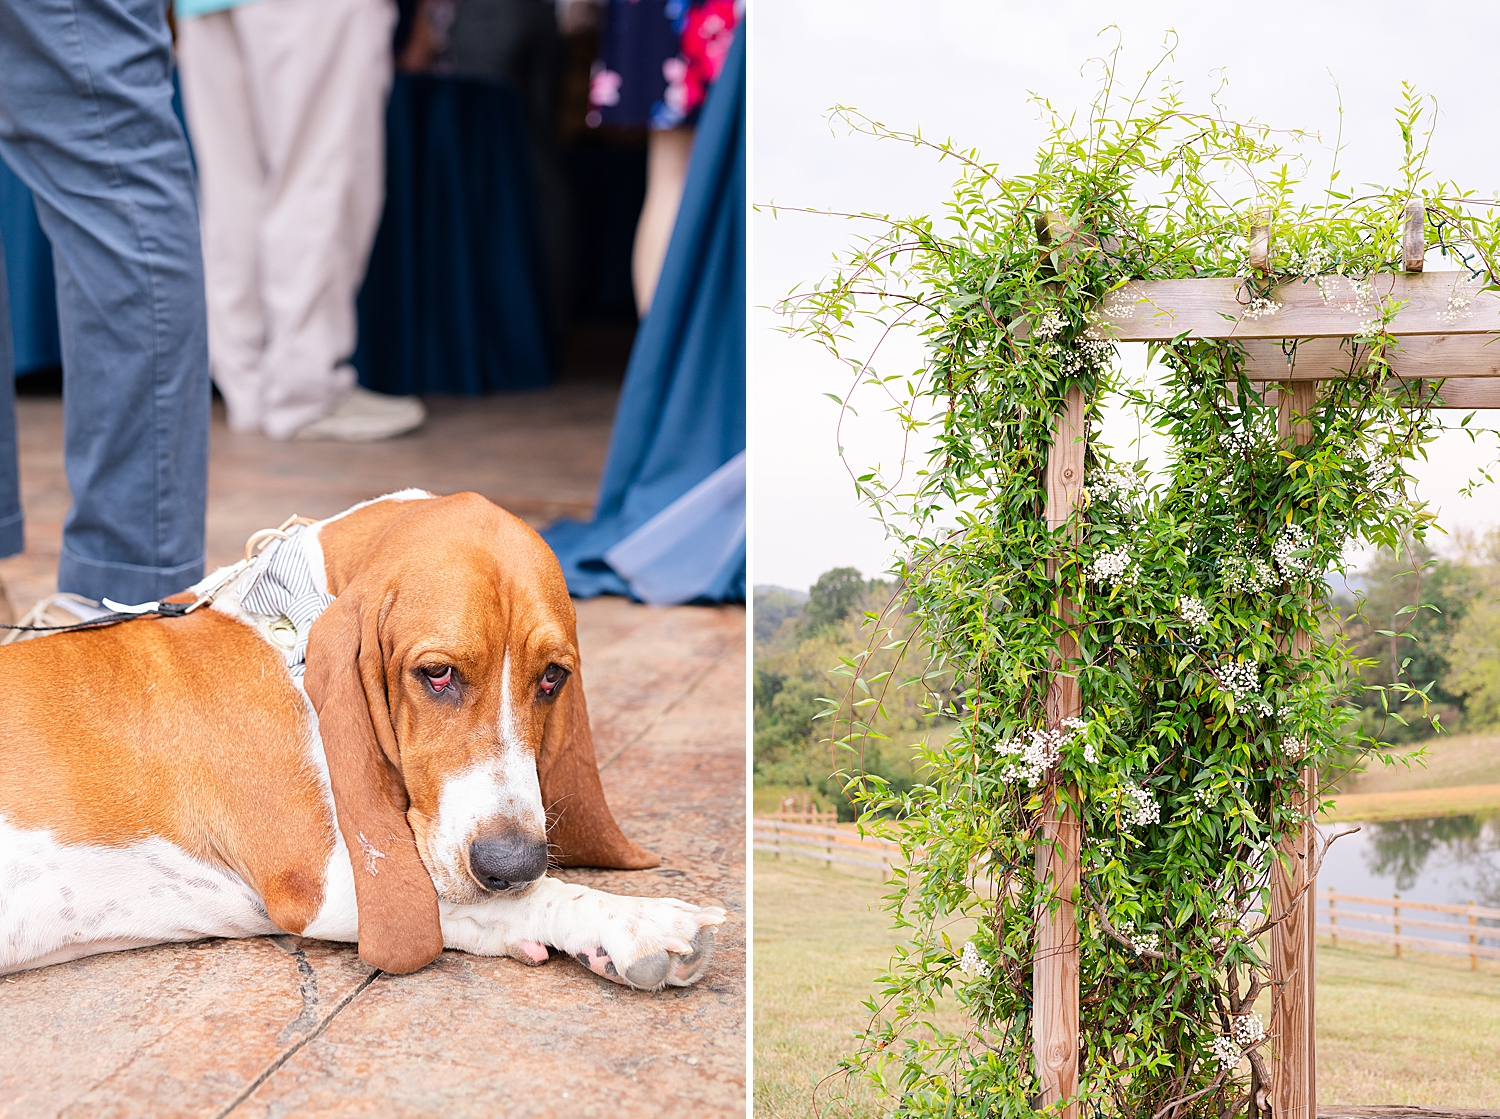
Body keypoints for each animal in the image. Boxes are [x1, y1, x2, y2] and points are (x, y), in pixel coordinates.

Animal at [0, 489, 726, 984]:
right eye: (437, 674)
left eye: (552, 677)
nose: (512, 862)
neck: (291, 620)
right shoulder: (325, 879)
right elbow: (500, 898)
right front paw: (637, 920)